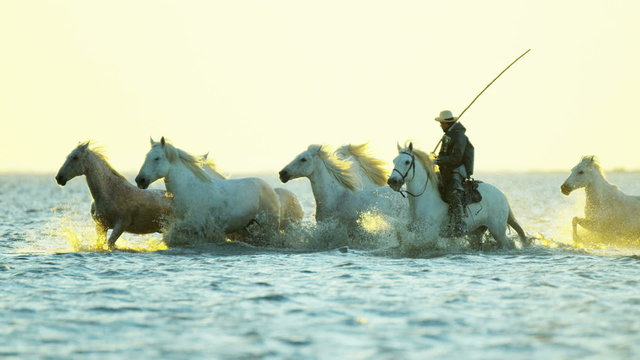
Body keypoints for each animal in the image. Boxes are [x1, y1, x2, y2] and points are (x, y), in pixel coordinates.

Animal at [134, 138, 280, 245]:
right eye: (146, 156)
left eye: (157, 158)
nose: (140, 180)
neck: (189, 189)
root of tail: (269, 187)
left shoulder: (198, 227)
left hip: (269, 225)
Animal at [384, 142, 524, 249]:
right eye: (394, 161)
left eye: (407, 162)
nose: (392, 181)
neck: (423, 199)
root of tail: (501, 195)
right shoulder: (414, 228)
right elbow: (400, 235)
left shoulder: (429, 233)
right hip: (477, 232)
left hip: (498, 230)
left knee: (509, 244)